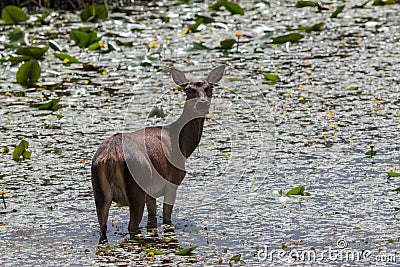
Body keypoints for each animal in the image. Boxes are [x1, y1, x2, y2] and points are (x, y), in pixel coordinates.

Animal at [92, 65, 227, 243]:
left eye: (209, 88)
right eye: (188, 90)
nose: (202, 103)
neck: (182, 145)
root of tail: (111, 156)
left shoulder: (151, 194)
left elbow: (153, 219)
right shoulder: (172, 181)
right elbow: (166, 219)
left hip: (99, 192)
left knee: (103, 228)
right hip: (137, 186)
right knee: (131, 227)